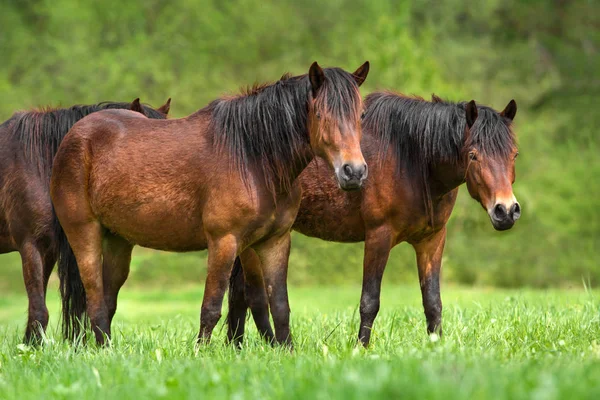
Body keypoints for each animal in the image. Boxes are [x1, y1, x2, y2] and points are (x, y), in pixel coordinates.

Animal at [52, 61, 370, 346]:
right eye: (319, 113)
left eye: (362, 114)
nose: (353, 172)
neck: (253, 158)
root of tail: (75, 135)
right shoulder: (224, 241)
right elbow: (212, 307)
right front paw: (200, 353)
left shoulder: (275, 242)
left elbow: (279, 306)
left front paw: (286, 350)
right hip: (84, 233)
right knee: (94, 298)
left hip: (118, 241)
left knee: (107, 300)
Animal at [227, 92, 516, 346]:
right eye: (473, 155)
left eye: (514, 154)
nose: (506, 210)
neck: (411, 162)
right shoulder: (379, 236)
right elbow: (370, 300)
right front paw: (361, 348)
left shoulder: (432, 240)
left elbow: (433, 302)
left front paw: (437, 346)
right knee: (252, 295)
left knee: (239, 293)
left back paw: (236, 346)